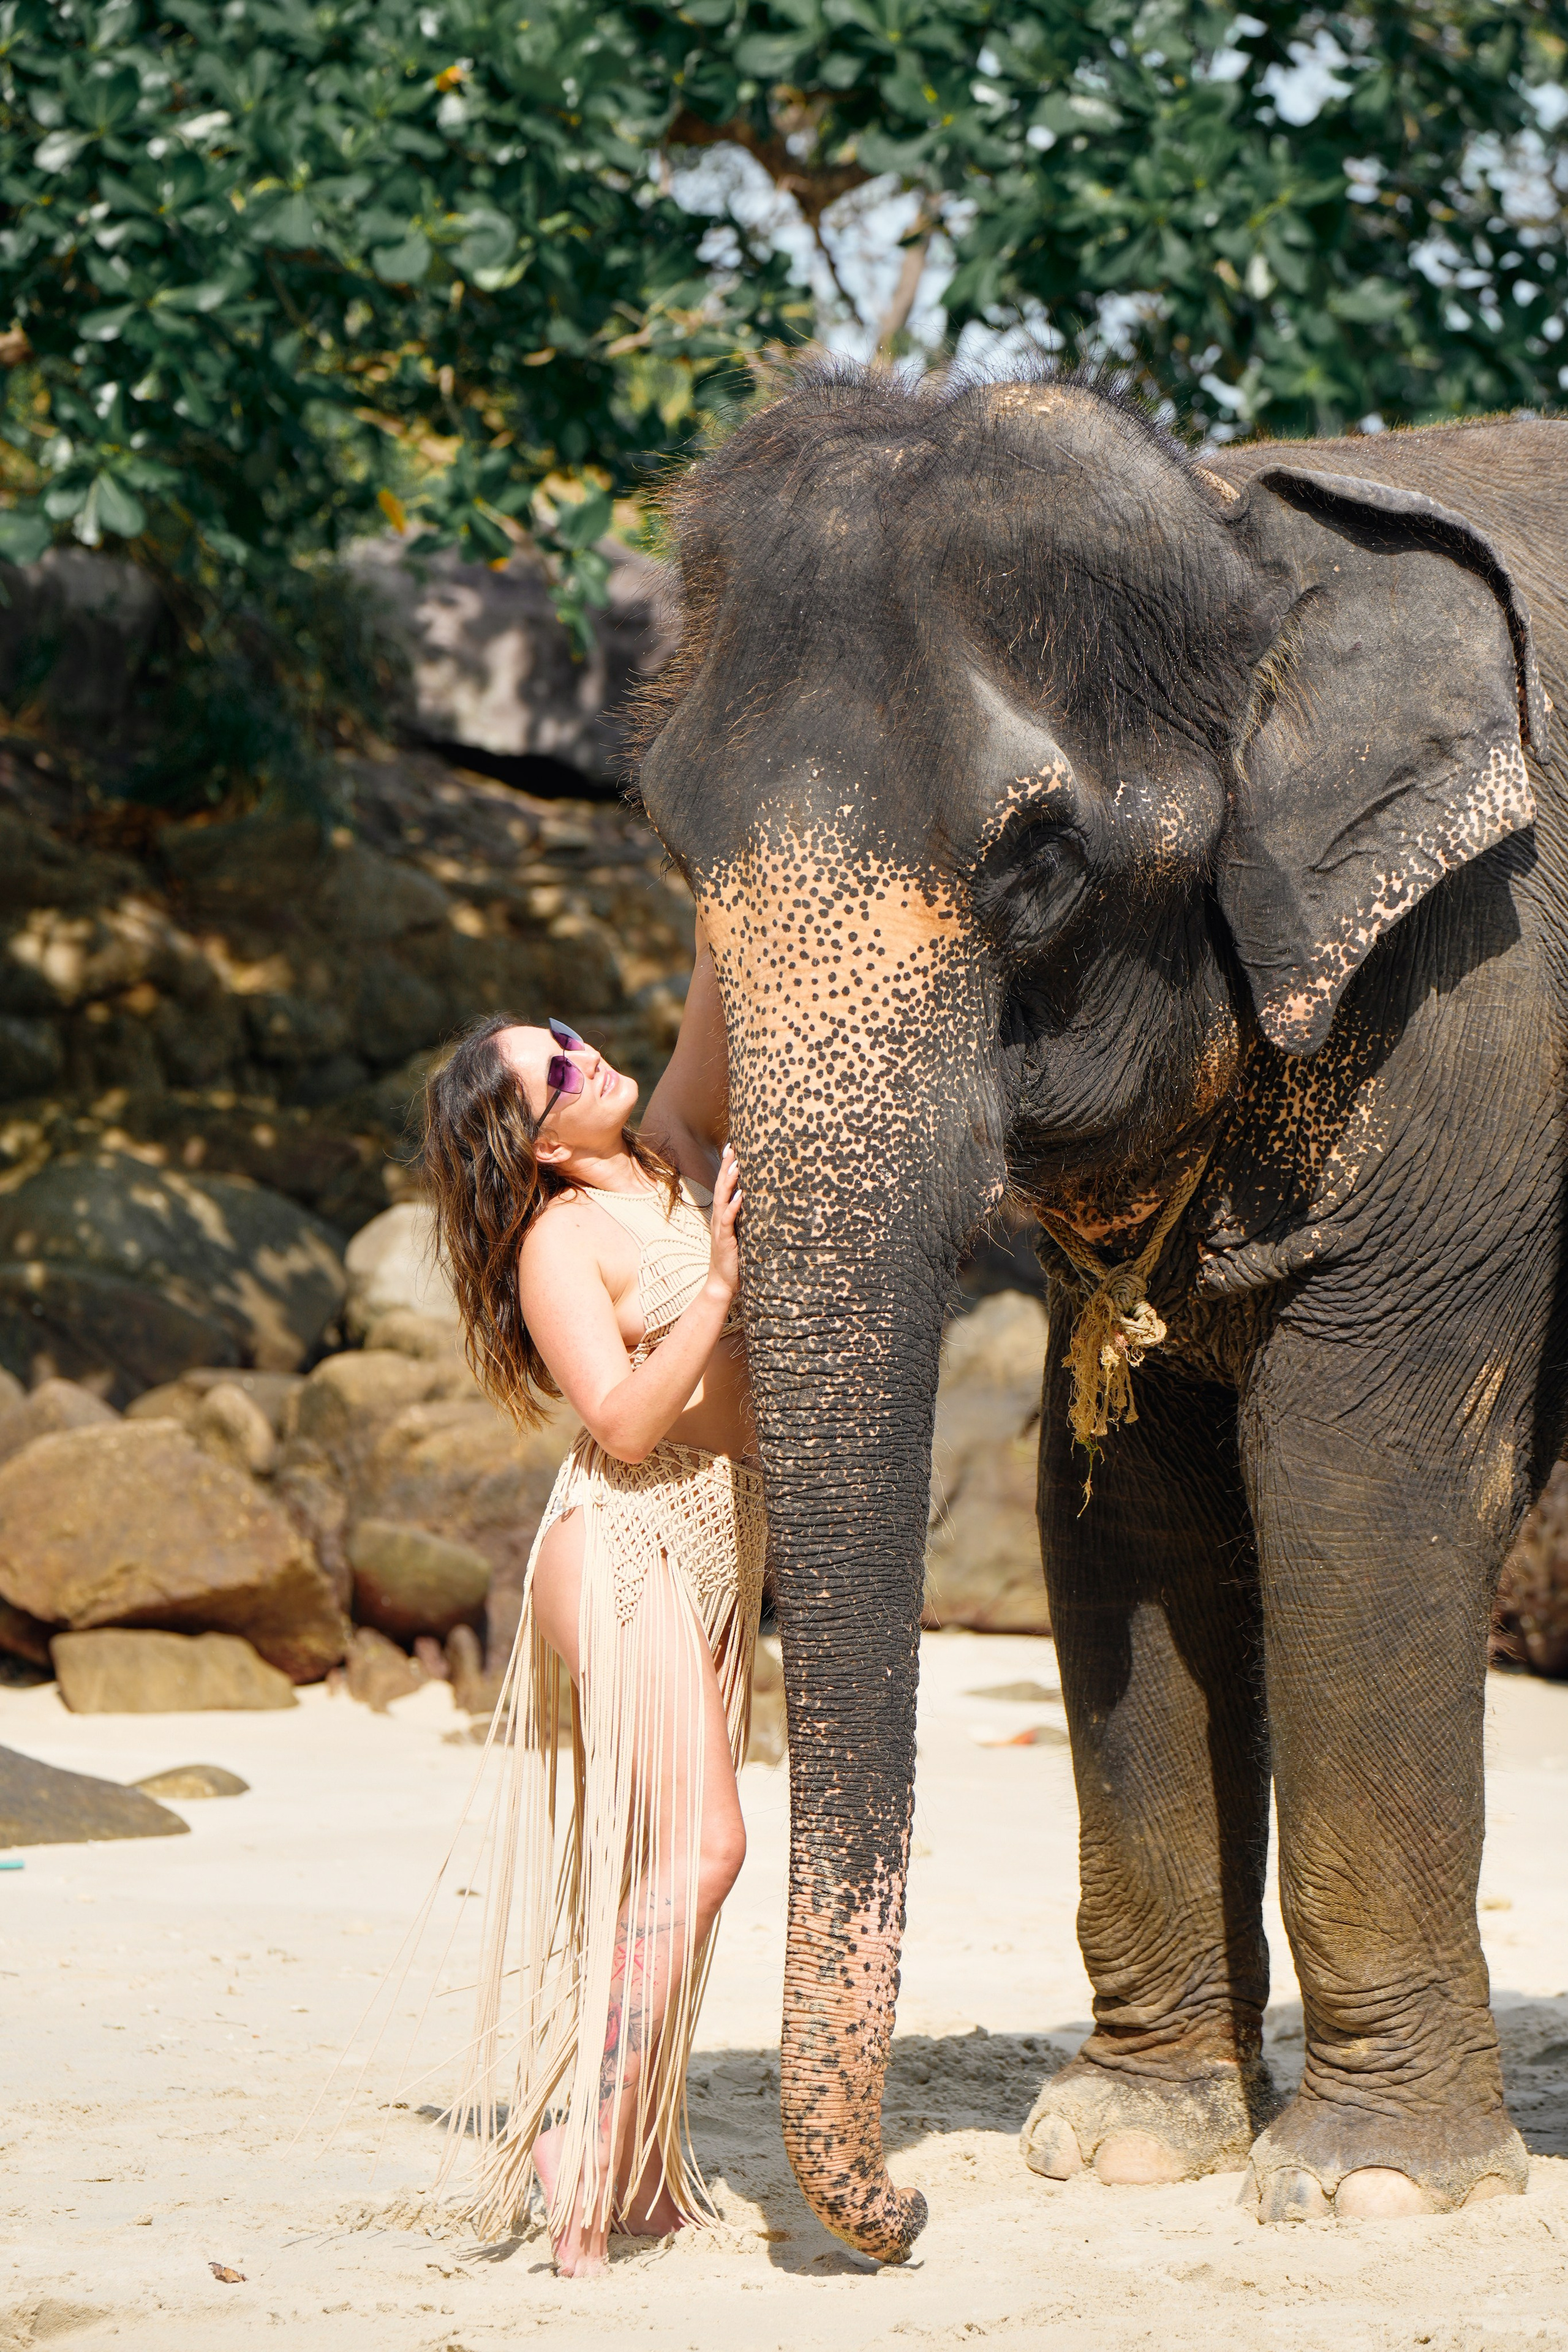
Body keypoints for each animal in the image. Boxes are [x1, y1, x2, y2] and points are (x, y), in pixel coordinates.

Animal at [631, 364, 1568, 2259]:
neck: (1240, 524)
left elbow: (1362, 1485)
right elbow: (1130, 1513)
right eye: (676, 846)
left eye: (1041, 861)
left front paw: (1370, 2187)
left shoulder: (1479, 1007)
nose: (907, 2210)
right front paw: (1128, 2144)